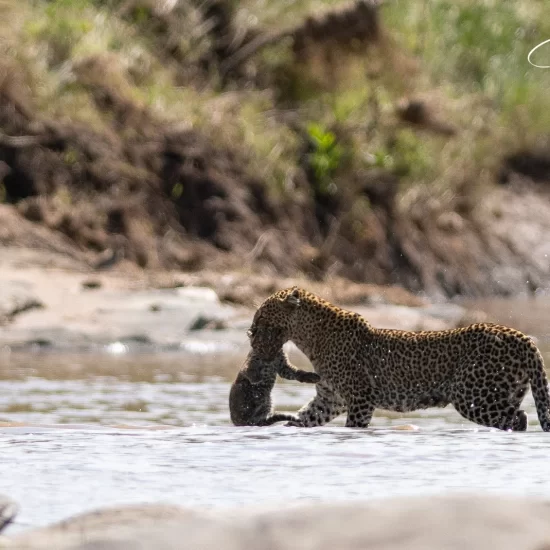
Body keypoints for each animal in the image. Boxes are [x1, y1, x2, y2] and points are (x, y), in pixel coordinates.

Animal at [248, 286, 550, 434]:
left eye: (261, 314)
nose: (249, 332)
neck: (310, 337)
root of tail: (522, 337)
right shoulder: (330, 398)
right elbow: (304, 418)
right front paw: (286, 428)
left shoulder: (360, 397)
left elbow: (354, 426)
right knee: (520, 415)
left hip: (473, 395)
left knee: (519, 418)